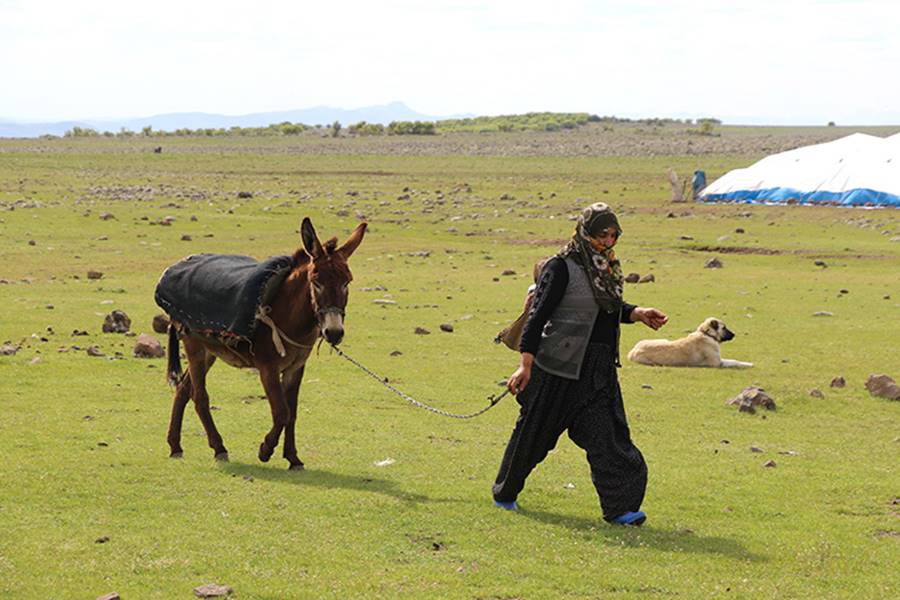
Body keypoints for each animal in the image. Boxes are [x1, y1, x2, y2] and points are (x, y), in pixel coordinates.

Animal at [624, 316, 752, 368]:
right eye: (724, 327)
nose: (734, 334)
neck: (707, 334)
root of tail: (632, 352)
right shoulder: (717, 363)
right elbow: (734, 361)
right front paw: (748, 364)